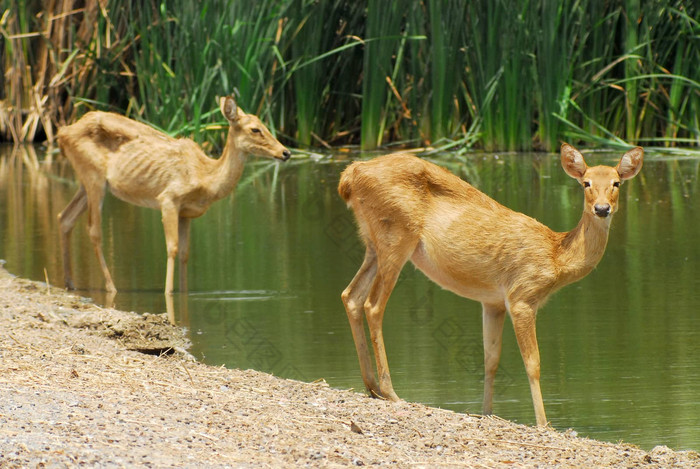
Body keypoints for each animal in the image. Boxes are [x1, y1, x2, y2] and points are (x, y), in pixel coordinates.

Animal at [55, 94, 292, 292]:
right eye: (255, 129)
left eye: (265, 125)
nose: (286, 152)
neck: (206, 177)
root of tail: (61, 133)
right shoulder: (168, 199)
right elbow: (172, 248)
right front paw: (168, 292)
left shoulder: (186, 213)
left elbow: (185, 254)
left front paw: (183, 292)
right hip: (94, 176)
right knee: (94, 230)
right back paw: (110, 287)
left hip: (85, 183)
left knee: (65, 217)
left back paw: (69, 283)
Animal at [336, 144, 644, 424]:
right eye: (586, 183)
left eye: (616, 182)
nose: (602, 209)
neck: (556, 257)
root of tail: (350, 175)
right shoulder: (522, 296)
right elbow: (533, 363)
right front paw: (544, 423)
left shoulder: (492, 301)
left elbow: (491, 359)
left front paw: (486, 412)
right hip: (396, 236)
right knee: (373, 305)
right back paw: (390, 391)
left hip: (372, 242)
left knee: (350, 295)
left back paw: (371, 386)